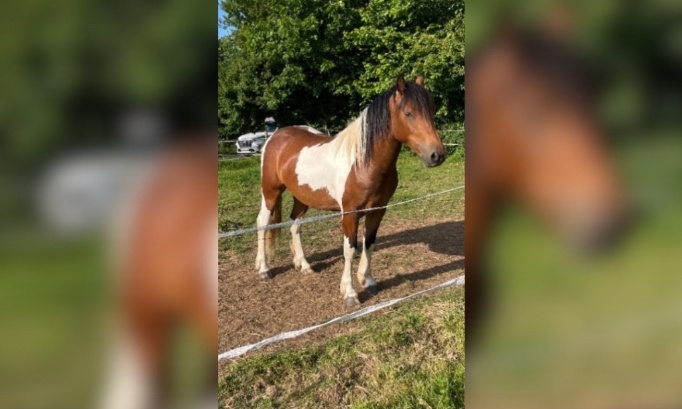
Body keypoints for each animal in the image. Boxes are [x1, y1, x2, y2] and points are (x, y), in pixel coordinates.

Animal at [255, 75, 446, 306]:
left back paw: (304, 265)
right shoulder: (350, 213)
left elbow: (369, 243)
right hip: (270, 192)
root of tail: (276, 136)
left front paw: (368, 280)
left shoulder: (378, 210)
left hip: (302, 196)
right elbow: (350, 249)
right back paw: (264, 269)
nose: (437, 155)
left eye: (432, 110)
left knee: (295, 225)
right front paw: (350, 293)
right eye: (409, 113)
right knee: (263, 223)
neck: (362, 163)